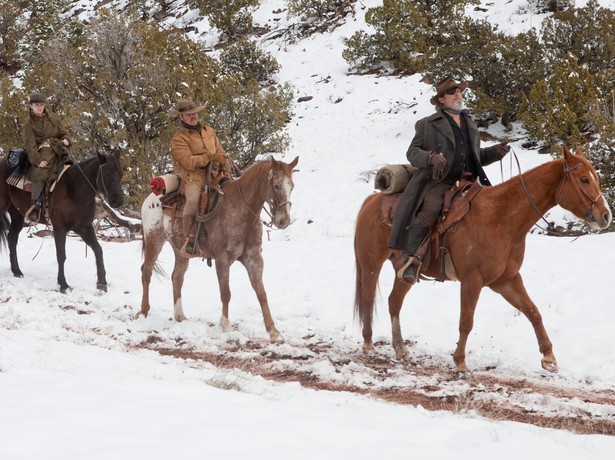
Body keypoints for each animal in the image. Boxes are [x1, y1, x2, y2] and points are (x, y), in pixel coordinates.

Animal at [0, 153, 125, 292]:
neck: (75, 189)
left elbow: (98, 250)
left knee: (12, 239)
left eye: (121, 173)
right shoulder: (59, 228)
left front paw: (102, 283)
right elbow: (61, 255)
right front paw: (63, 284)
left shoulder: (84, 227)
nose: (118, 201)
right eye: (107, 173)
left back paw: (17, 271)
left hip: (17, 215)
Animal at [142, 156, 300, 340]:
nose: (283, 221)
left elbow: (261, 293)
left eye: (292, 186)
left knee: (177, 277)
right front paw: (225, 326)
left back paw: (180, 316)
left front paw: (273, 331)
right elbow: (226, 293)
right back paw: (144, 311)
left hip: (180, 250)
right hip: (154, 240)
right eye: (276, 186)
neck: (241, 211)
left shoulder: (253, 259)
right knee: (146, 271)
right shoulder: (222, 260)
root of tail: (150, 199)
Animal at [354, 147, 612, 374]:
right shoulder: (472, 280)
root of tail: (370, 201)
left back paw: (400, 349)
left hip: (405, 272)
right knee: (368, 298)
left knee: (393, 302)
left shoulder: (506, 280)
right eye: (583, 180)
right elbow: (466, 321)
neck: (501, 217)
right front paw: (460, 362)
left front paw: (549, 357)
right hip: (371, 264)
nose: (606, 216)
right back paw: (368, 344)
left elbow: (533, 312)